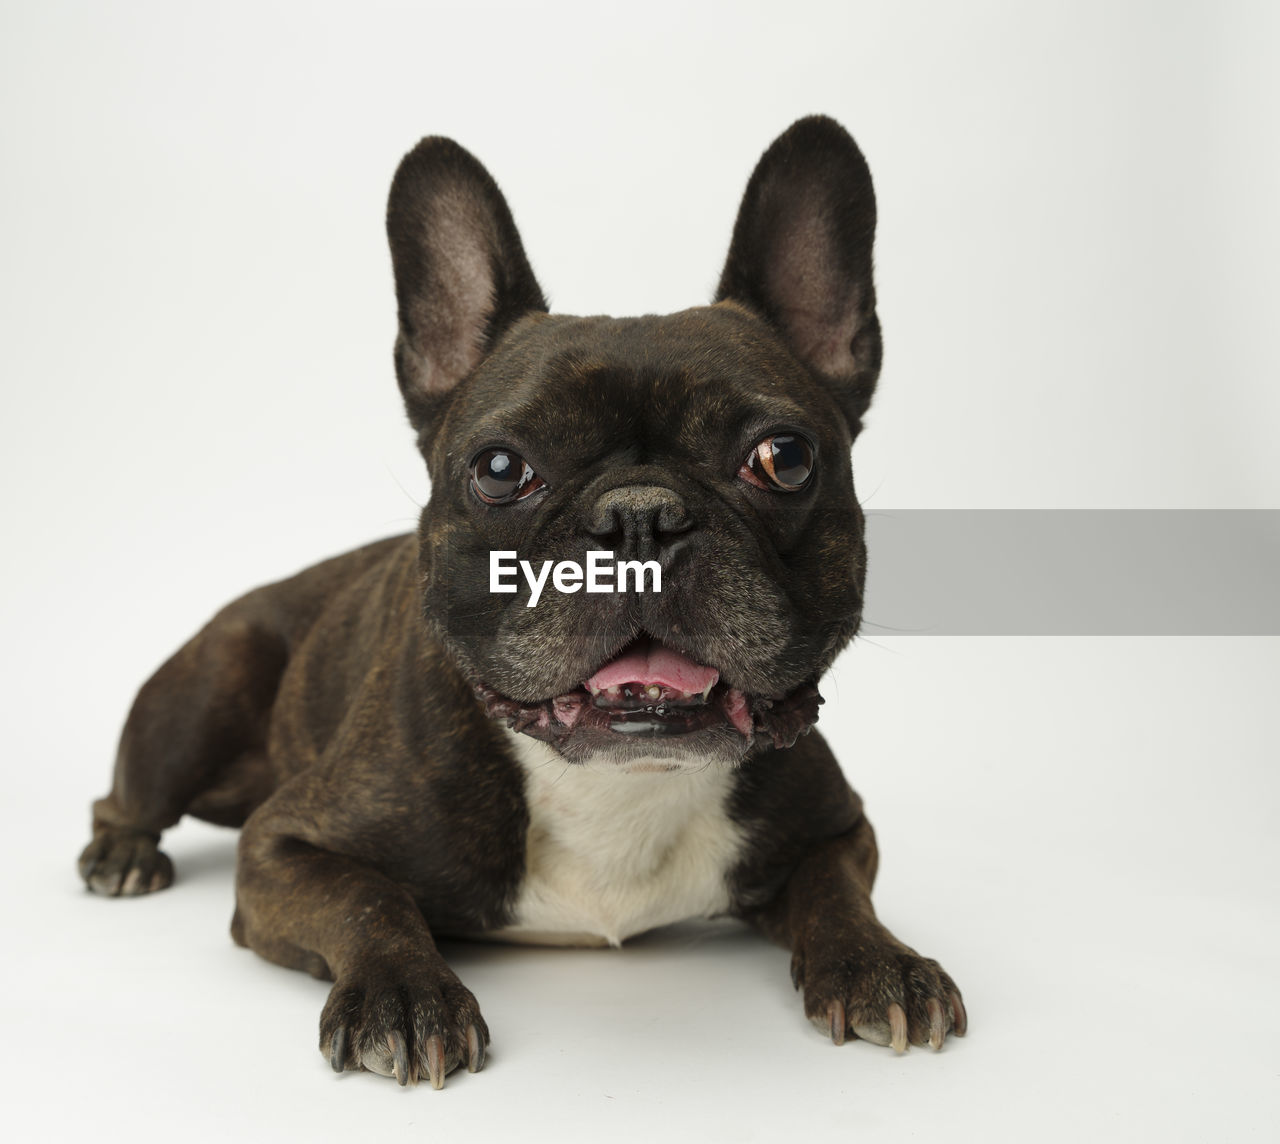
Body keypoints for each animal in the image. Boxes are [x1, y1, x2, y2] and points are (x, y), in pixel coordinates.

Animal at [77, 119, 962, 1095]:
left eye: (785, 459)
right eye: (500, 469)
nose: (641, 516)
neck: (616, 786)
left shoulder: (838, 827)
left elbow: (837, 892)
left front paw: (878, 962)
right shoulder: (284, 846)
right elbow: (368, 900)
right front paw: (403, 993)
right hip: (204, 688)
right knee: (131, 793)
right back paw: (122, 854)